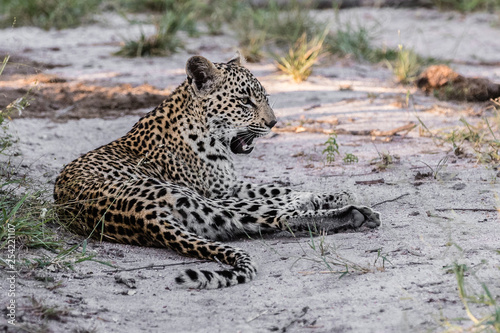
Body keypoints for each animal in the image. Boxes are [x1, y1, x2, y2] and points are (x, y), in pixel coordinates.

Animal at [53, 54, 378, 288]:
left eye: (265, 97)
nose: (273, 123)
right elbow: (280, 192)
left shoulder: (229, 185)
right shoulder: (218, 191)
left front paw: (338, 192)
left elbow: (276, 186)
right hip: (196, 199)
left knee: (263, 220)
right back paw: (355, 213)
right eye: (245, 100)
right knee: (277, 213)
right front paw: (335, 194)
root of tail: (145, 217)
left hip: (208, 215)